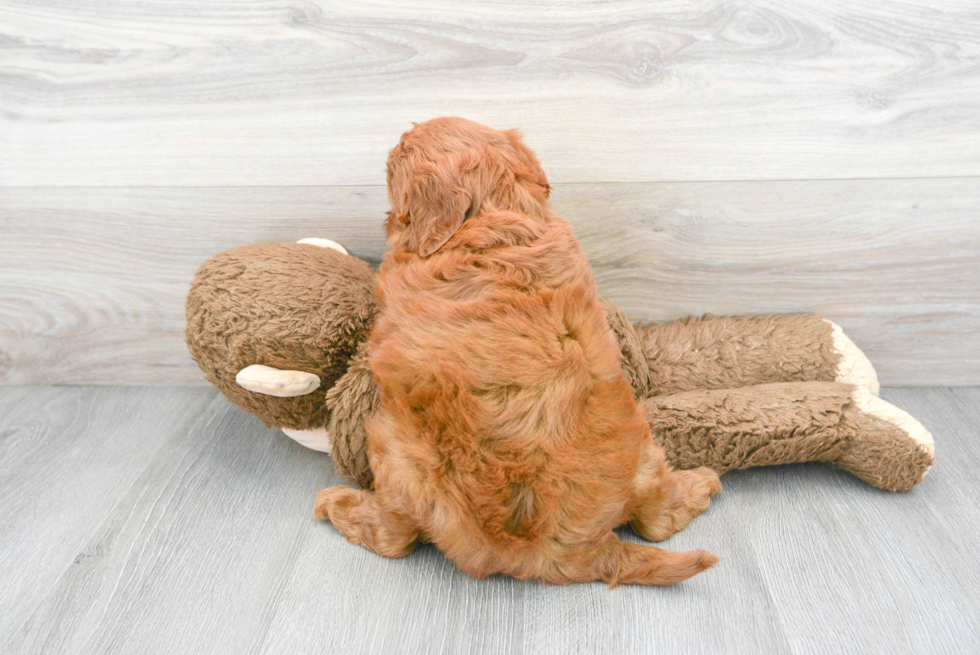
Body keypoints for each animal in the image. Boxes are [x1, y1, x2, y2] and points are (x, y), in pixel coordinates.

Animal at [316, 116, 720, 584]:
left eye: (393, 165)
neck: (494, 221)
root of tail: (573, 551)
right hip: (644, 448)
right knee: (656, 519)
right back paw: (703, 483)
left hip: (394, 452)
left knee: (394, 538)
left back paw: (337, 505)